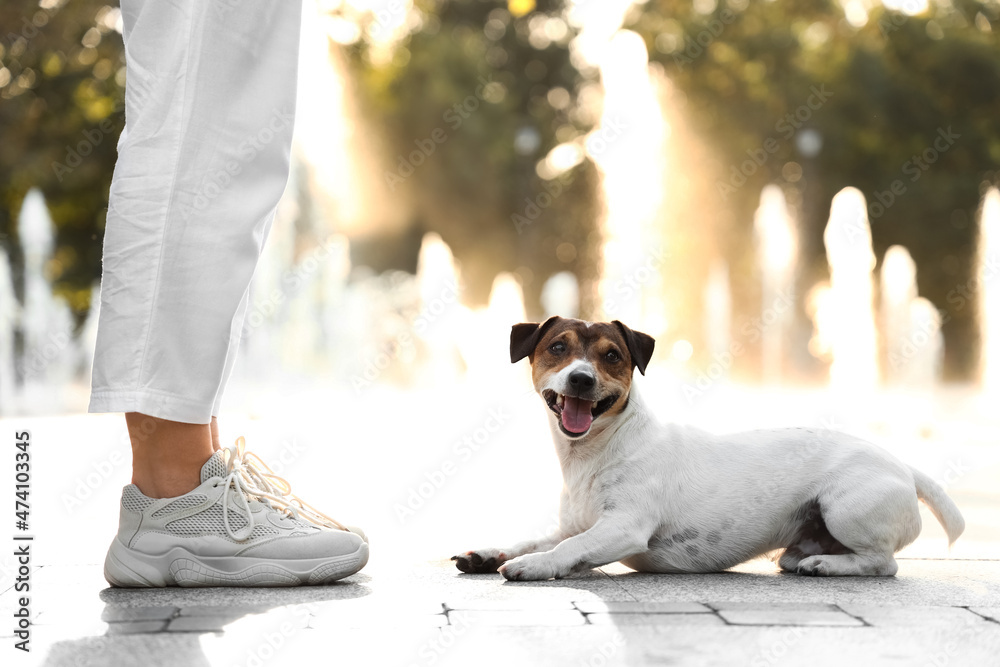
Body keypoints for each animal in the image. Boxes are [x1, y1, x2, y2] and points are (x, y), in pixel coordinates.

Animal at [452, 316, 960, 580]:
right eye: (558, 347)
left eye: (611, 355)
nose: (581, 379)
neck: (597, 452)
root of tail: (903, 464)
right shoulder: (572, 524)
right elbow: (539, 537)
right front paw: (491, 554)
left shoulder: (623, 527)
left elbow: (567, 548)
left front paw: (534, 565)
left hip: (846, 507)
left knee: (883, 563)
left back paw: (826, 566)